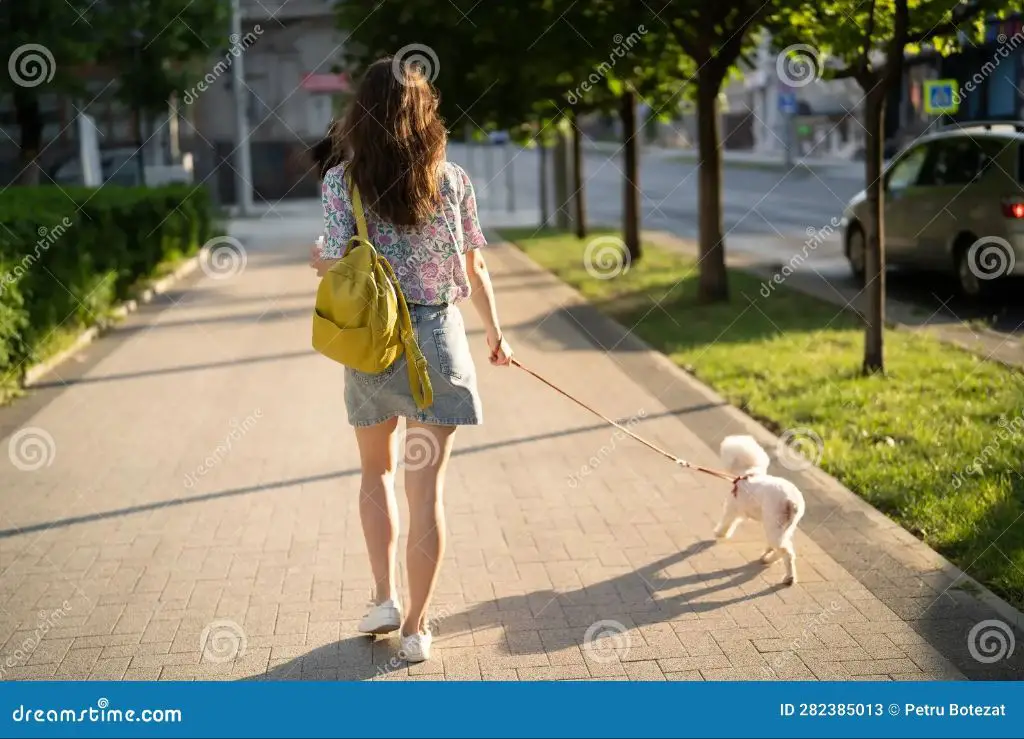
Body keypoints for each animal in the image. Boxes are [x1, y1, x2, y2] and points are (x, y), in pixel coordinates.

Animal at [716, 431, 802, 581]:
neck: (749, 473)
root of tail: (791, 501)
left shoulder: (733, 506)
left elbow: (727, 521)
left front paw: (720, 533)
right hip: (787, 526)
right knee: (782, 547)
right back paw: (767, 559)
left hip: (774, 523)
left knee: (786, 552)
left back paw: (788, 577)